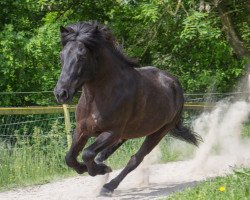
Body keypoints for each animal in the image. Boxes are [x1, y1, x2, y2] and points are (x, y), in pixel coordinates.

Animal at [53, 21, 201, 195]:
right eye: (61, 56)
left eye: (82, 56)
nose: (61, 93)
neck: (98, 98)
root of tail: (174, 83)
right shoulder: (82, 130)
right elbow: (70, 158)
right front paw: (90, 169)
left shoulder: (112, 132)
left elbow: (87, 153)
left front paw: (101, 170)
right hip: (129, 131)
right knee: (105, 153)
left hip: (158, 132)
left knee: (136, 159)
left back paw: (108, 186)